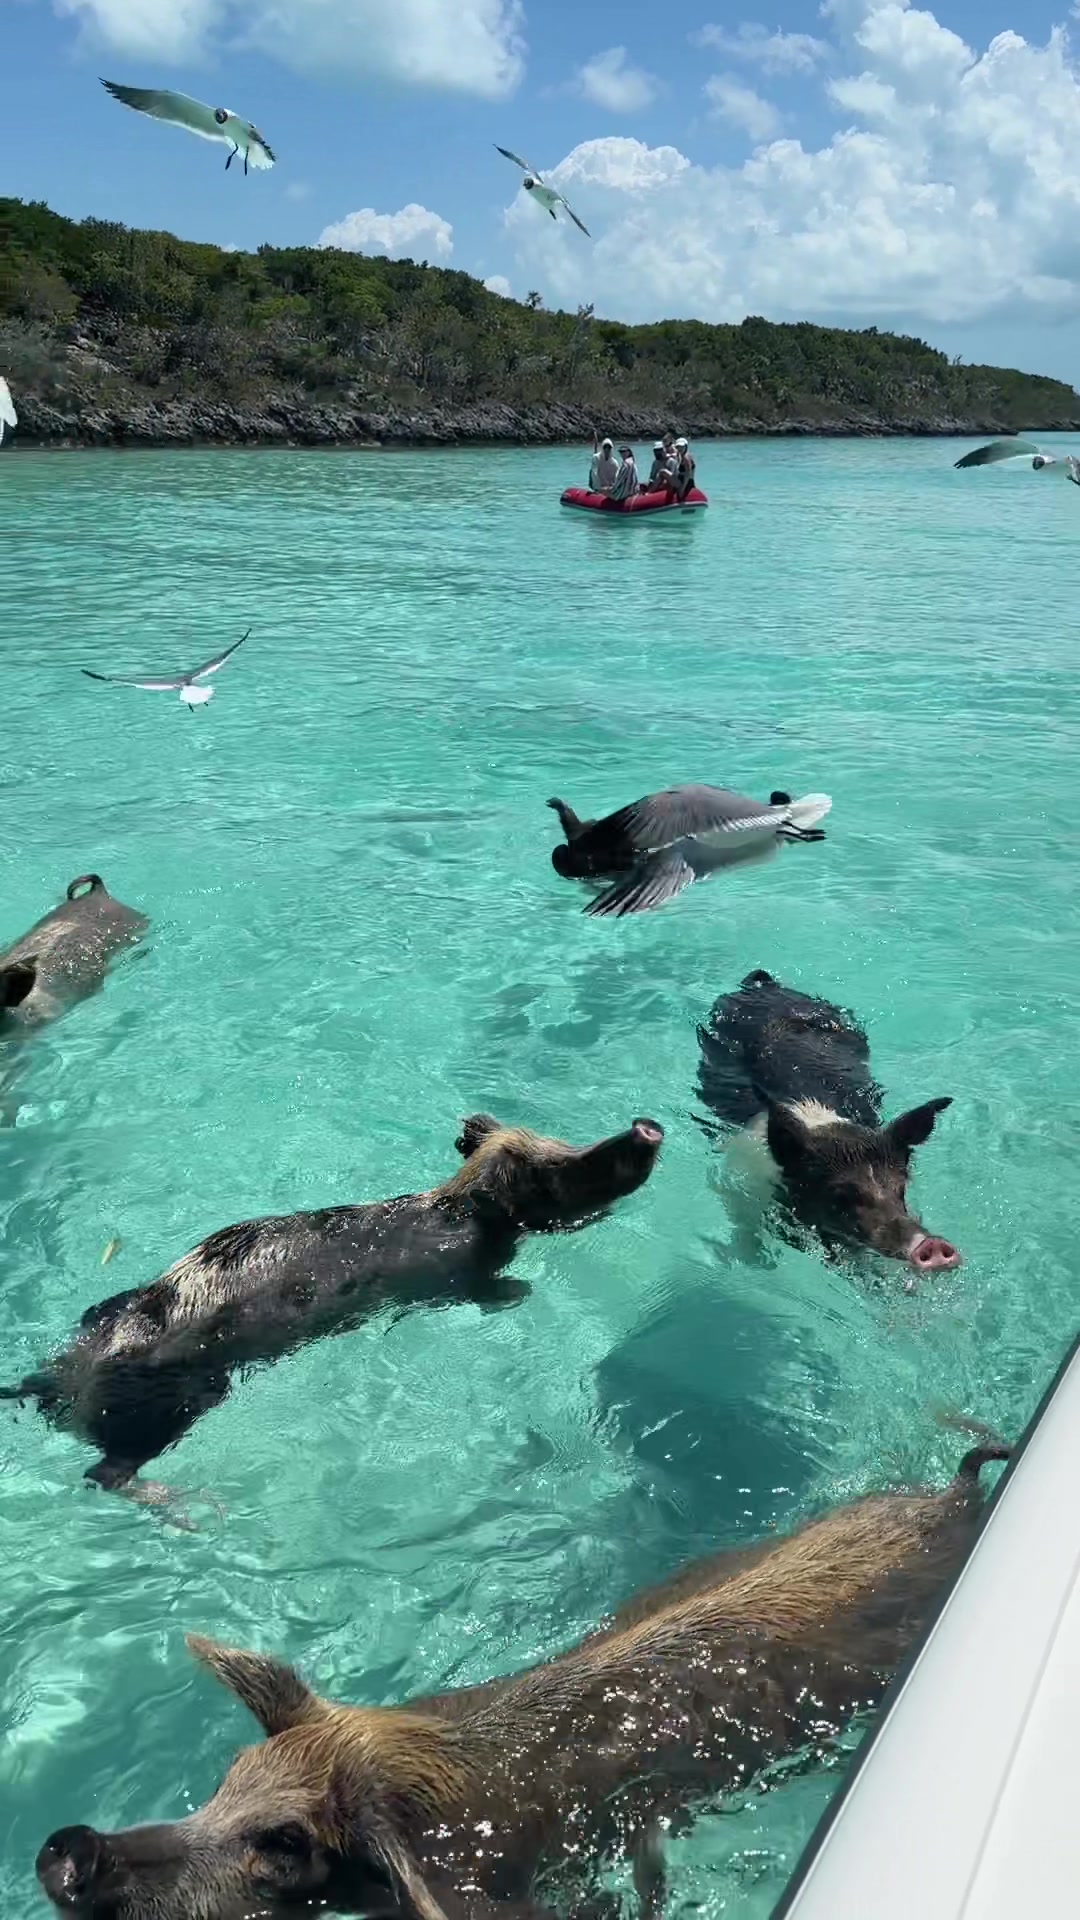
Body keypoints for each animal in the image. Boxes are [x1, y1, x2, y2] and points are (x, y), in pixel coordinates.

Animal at [1, 1113, 663, 1495]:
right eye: (556, 1173)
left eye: (564, 1144)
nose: (645, 1127)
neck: (459, 1212)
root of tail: (55, 1382)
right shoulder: (455, 1278)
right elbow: (484, 1294)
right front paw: (521, 1293)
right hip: (178, 1399)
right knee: (104, 1474)